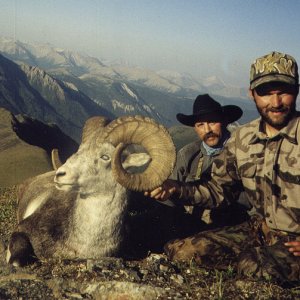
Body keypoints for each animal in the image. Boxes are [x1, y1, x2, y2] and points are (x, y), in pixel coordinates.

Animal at [6, 115, 176, 268]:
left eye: (105, 157)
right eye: (79, 150)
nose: (60, 174)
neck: (86, 242)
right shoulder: (22, 230)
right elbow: (16, 261)